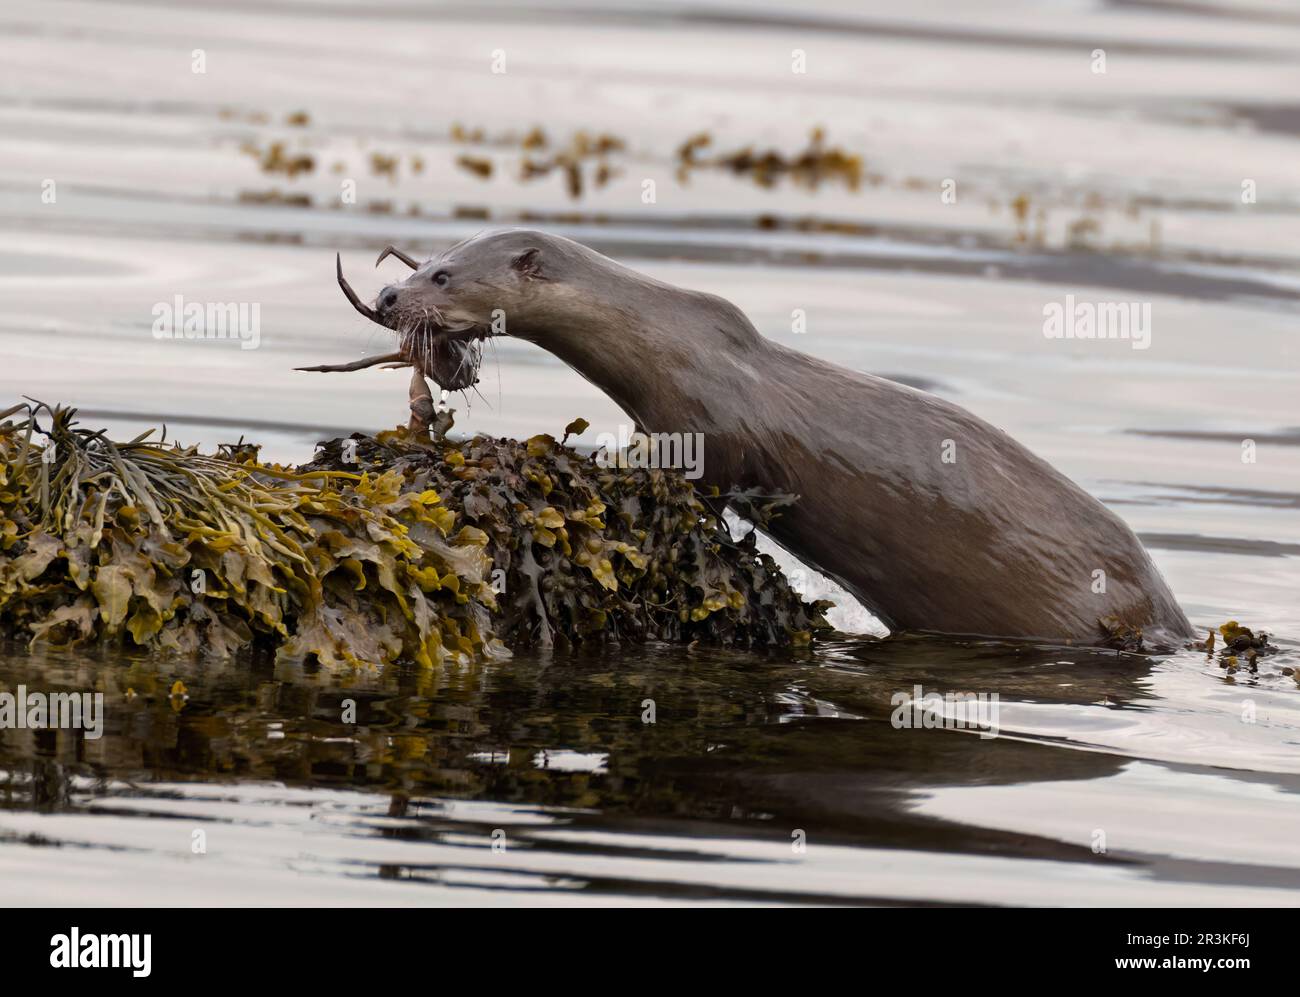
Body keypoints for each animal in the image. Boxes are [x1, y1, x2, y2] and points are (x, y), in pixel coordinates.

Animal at [332, 229, 1194, 648]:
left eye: (443, 276)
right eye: (422, 260)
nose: (387, 294)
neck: (667, 342)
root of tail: (1165, 612)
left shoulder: (709, 424)